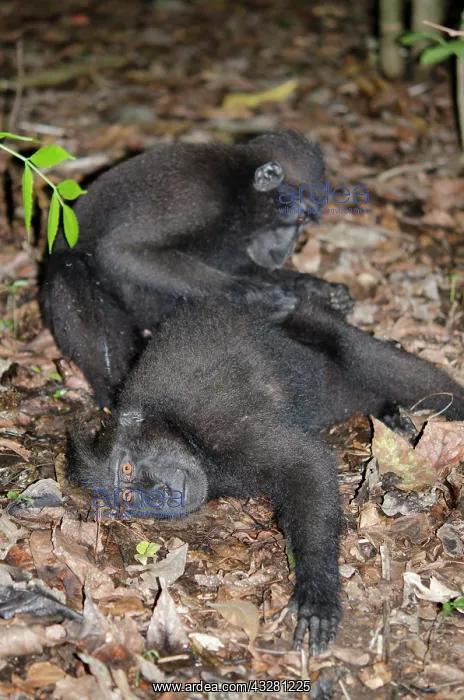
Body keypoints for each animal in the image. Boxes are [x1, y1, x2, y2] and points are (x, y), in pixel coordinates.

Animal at [39, 130, 353, 407]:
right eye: (298, 218)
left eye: (304, 224)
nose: (286, 251)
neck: (239, 190)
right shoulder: (196, 200)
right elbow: (120, 252)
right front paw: (256, 299)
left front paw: (319, 288)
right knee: (70, 269)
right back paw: (110, 391)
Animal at [67, 295, 464, 655]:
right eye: (129, 496)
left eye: (127, 468)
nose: (159, 493)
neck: (177, 427)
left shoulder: (218, 424)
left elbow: (306, 463)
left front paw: (317, 593)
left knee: (358, 352)